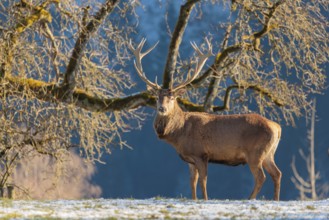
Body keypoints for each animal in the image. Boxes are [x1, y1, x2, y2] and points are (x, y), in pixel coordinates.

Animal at [128, 38, 282, 201]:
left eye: (172, 97)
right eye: (157, 97)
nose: (162, 109)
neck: (179, 133)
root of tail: (277, 127)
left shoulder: (201, 153)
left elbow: (203, 181)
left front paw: (205, 199)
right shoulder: (190, 159)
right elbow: (192, 181)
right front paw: (194, 199)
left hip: (255, 152)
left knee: (261, 177)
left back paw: (249, 199)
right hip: (269, 153)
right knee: (277, 173)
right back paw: (275, 199)